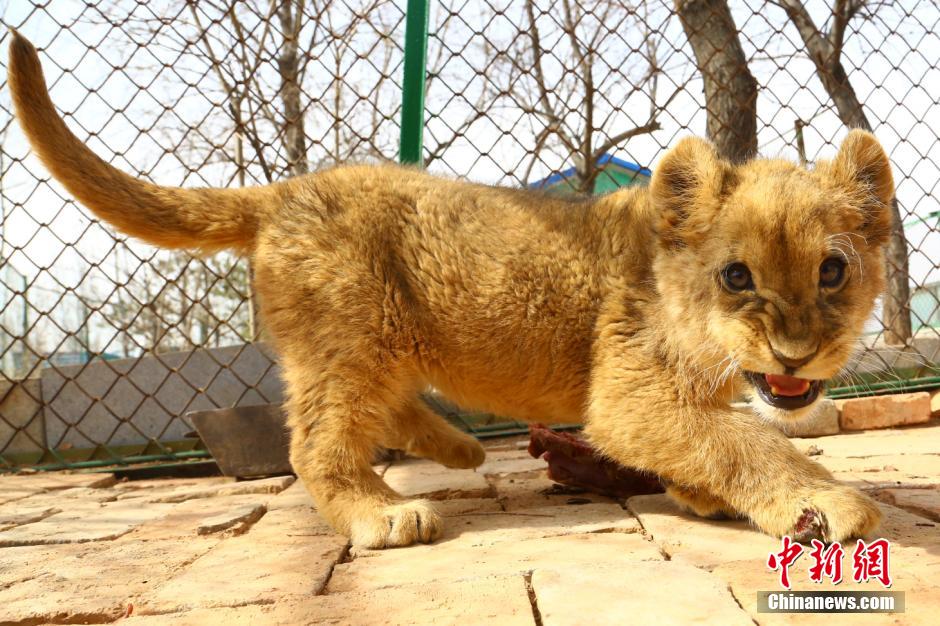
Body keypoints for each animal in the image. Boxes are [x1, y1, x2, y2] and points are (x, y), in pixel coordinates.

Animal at [9, 31, 890, 548]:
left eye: (833, 271)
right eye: (737, 276)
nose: (796, 352)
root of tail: (287, 188)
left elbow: (720, 433)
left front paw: (699, 492)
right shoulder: (626, 395)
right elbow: (747, 438)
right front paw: (825, 503)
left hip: (371, 342)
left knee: (385, 407)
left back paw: (458, 448)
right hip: (350, 336)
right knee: (318, 443)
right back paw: (382, 512)